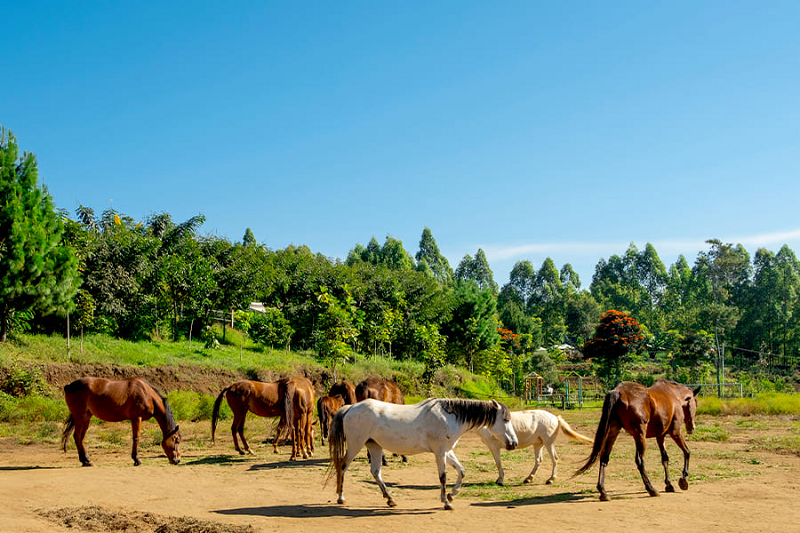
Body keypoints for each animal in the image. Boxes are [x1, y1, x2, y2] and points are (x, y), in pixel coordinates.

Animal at [326, 396, 520, 510]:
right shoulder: (440, 452)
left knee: (375, 472)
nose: (513, 443)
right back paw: (341, 498)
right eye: (505, 419)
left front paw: (452, 494)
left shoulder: (447, 451)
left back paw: (390, 499)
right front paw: (446, 501)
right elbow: (443, 476)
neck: (449, 416)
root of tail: (350, 407)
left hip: (374, 446)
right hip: (355, 444)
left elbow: (462, 471)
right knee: (342, 466)